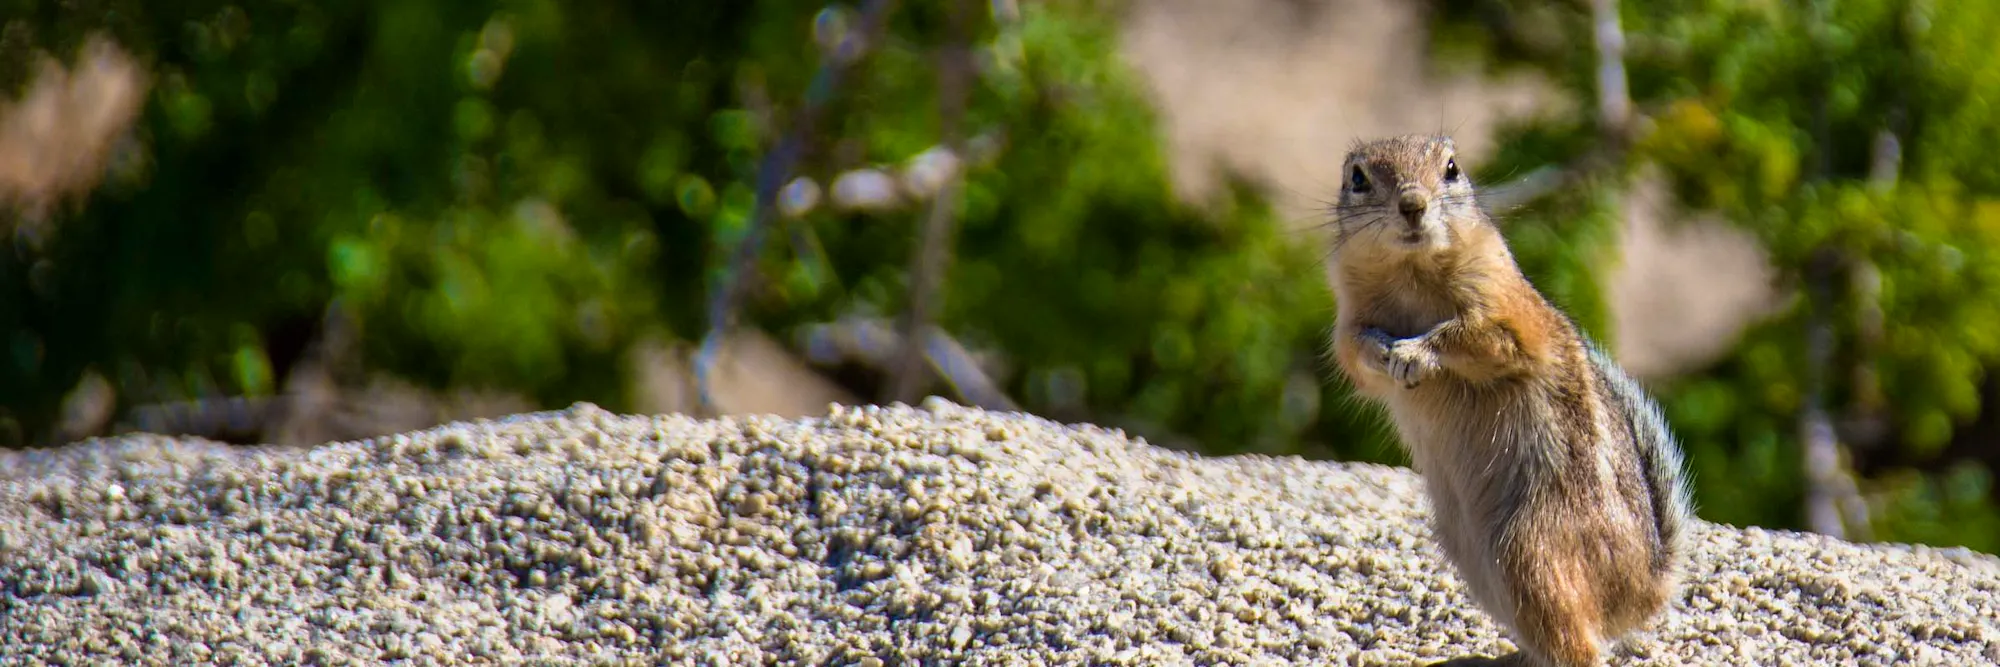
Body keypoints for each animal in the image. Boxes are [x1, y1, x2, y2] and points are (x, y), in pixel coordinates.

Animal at [1321, 135, 1694, 667]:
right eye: (1357, 177)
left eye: (1452, 168)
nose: (1413, 204)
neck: (1411, 273)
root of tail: (1641, 590)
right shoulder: (1348, 318)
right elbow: (1356, 352)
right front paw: (1384, 351)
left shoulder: (1508, 312)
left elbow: (1472, 337)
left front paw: (1414, 353)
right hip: (1469, 553)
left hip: (1529, 550)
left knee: (1580, 646)